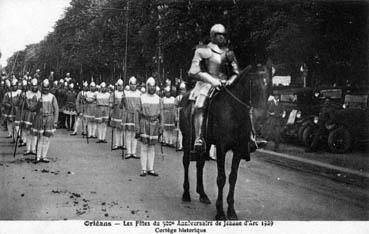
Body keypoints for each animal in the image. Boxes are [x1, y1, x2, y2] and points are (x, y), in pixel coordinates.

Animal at [179, 65, 262, 220]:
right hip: (187, 138)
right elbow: (221, 178)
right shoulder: (221, 148)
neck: (233, 110)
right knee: (186, 162)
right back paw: (186, 194)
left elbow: (233, 178)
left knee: (200, 164)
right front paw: (220, 212)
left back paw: (203, 194)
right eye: (253, 84)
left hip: (205, 144)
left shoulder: (238, 149)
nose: (261, 112)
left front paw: (231, 211)